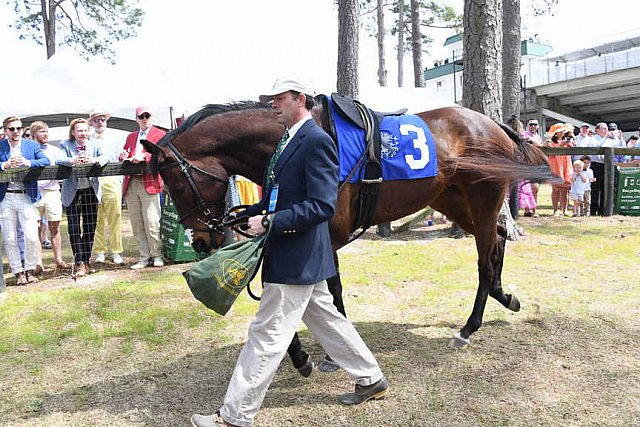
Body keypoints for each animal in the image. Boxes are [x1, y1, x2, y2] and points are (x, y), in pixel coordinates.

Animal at [140, 100, 556, 374]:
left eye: (176, 183)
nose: (200, 240)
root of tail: (493, 125)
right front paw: (314, 350)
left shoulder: (324, 233)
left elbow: (323, 291)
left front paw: (317, 353)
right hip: (452, 201)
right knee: (498, 239)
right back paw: (506, 297)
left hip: (481, 201)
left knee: (485, 260)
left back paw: (468, 327)